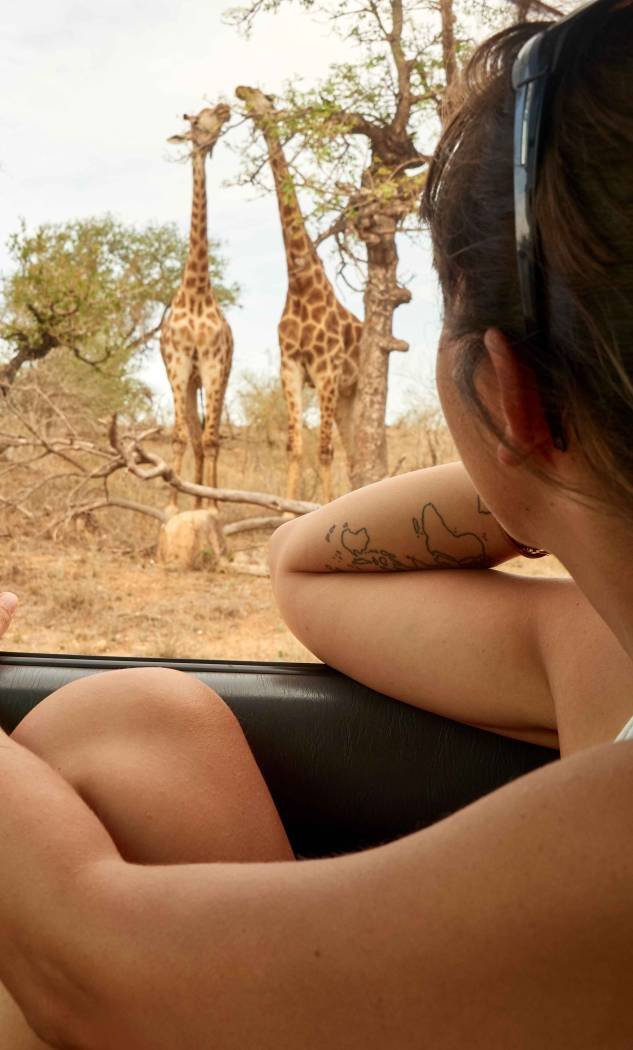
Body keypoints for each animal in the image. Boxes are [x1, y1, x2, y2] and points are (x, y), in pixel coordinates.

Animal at [236, 86, 363, 503]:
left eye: (265, 98)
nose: (241, 92)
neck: (300, 280)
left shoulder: (325, 370)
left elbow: (323, 451)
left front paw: (320, 506)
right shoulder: (289, 366)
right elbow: (294, 446)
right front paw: (285, 507)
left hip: (352, 390)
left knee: (350, 452)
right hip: (345, 398)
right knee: (353, 455)